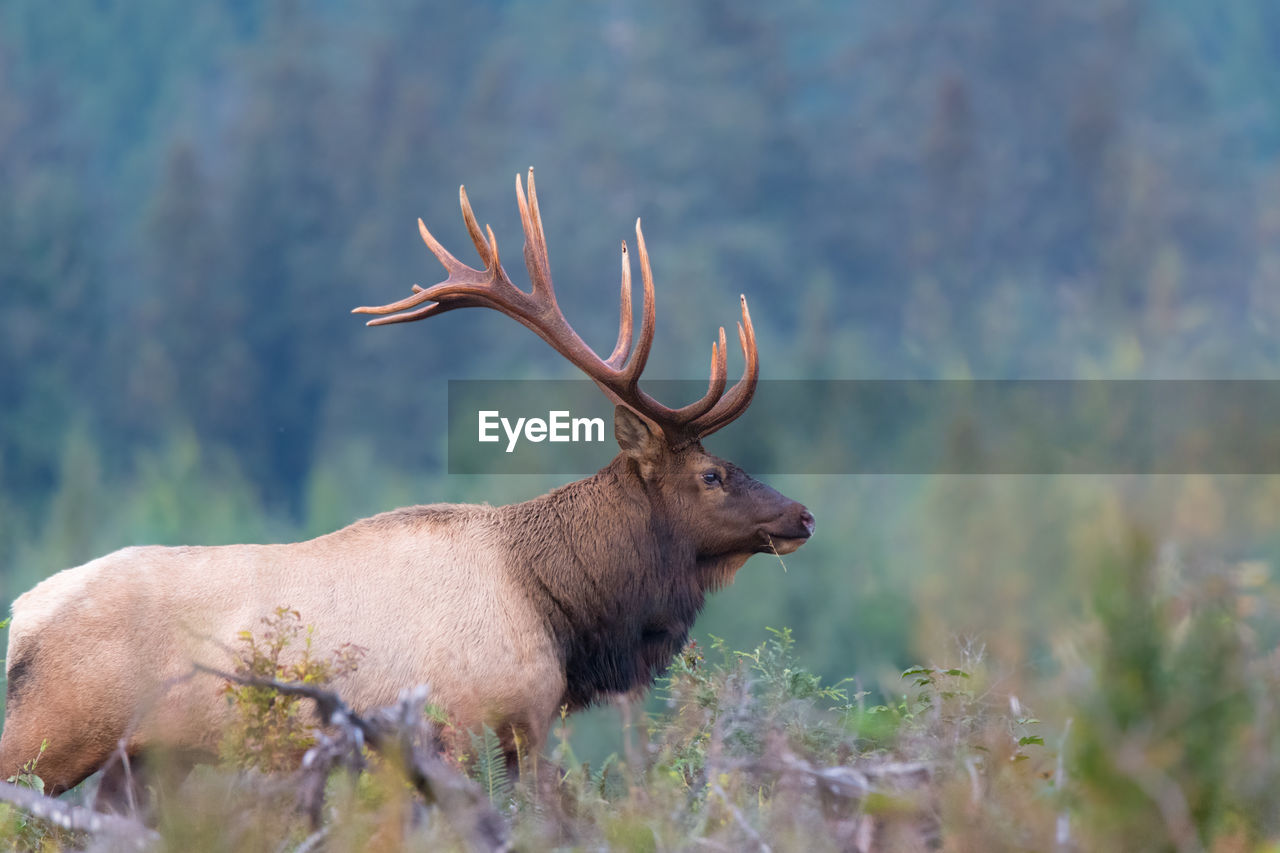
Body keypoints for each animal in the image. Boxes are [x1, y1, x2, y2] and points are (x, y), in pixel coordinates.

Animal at [0, 169, 814, 794]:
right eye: (711, 473)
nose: (802, 515)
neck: (563, 611)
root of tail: (22, 619)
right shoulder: (473, 727)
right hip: (55, 730)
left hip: (138, 762)